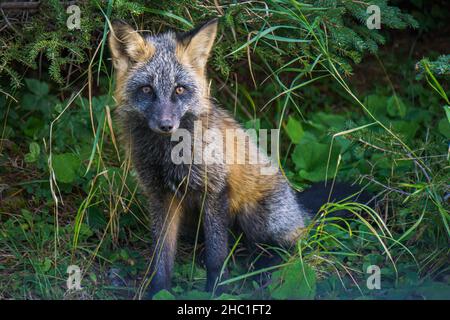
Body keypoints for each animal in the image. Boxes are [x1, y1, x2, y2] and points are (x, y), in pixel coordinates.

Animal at [108, 18, 370, 296]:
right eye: (147, 89)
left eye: (179, 89)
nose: (166, 125)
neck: (168, 156)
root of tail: (298, 205)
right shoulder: (161, 197)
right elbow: (162, 257)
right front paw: (159, 292)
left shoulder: (215, 191)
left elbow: (216, 256)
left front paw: (216, 291)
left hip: (256, 216)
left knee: (291, 246)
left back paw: (265, 269)